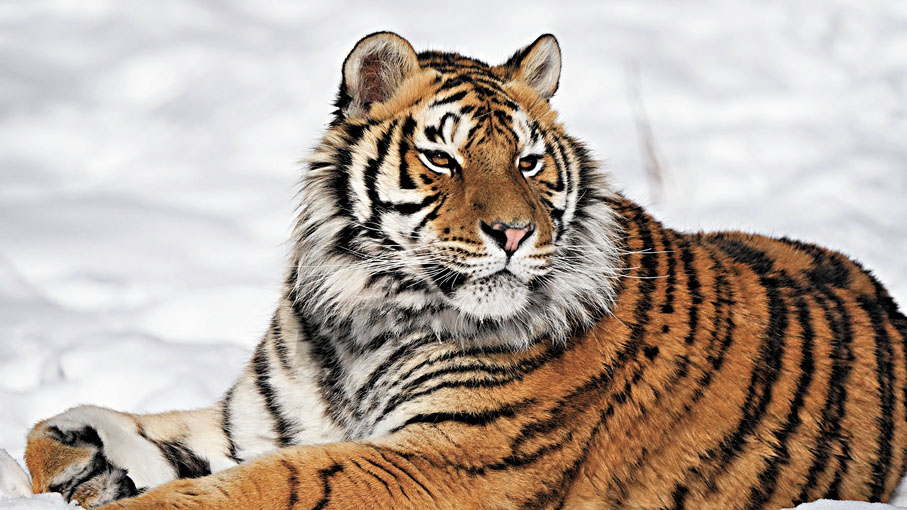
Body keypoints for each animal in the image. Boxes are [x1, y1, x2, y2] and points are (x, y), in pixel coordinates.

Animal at [20, 31, 907, 510]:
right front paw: (82, 463)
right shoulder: (262, 424)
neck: (363, 315)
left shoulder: (452, 459)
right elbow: (63, 430)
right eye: (442, 159)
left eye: (527, 162)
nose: (513, 232)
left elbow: (276, 486)